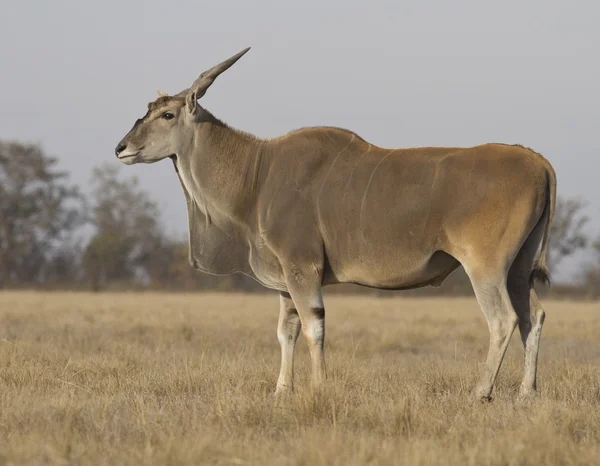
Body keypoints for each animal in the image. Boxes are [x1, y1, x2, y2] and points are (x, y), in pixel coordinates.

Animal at [116, 49, 556, 402]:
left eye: (167, 114)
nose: (121, 148)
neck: (257, 174)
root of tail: (537, 161)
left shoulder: (302, 268)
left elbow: (314, 327)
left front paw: (318, 388)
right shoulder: (285, 280)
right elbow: (287, 331)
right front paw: (282, 391)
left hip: (485, 268)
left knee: (503, 319)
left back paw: (482, 392)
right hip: (517, 270)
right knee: (533, 316)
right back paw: (526, 393)